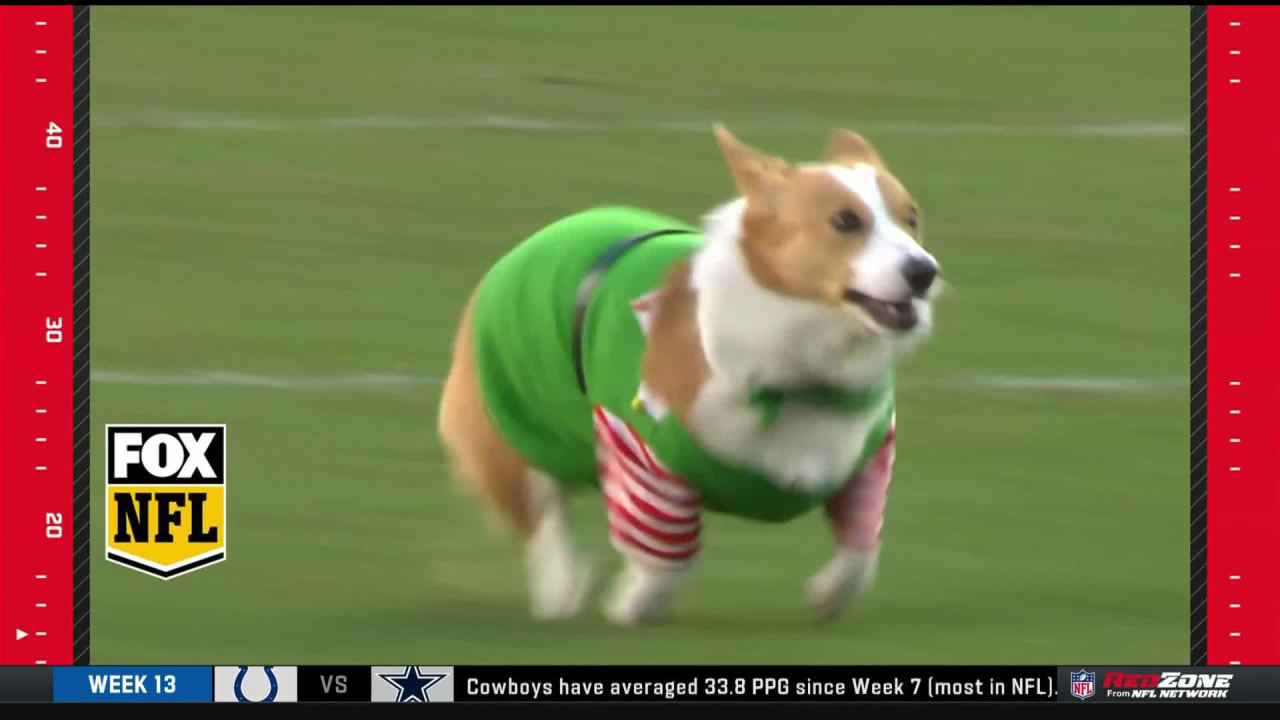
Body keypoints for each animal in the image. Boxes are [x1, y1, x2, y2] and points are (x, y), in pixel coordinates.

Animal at [440, 124, 942, 622]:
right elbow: (667, 561)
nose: (925, 271)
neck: (800, 370)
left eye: (911, 217)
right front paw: (630, 606)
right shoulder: (643, 460)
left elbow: (862, 551)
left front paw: (828, 595)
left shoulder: (868, 460)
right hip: (509, 438)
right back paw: (565, 590)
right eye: (846, 221)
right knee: (542, 518)